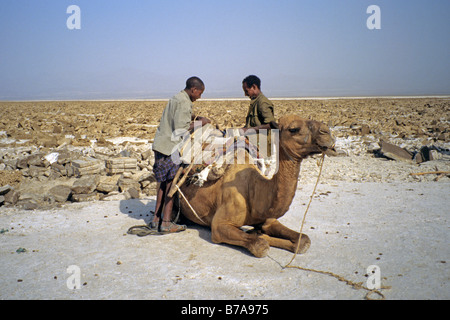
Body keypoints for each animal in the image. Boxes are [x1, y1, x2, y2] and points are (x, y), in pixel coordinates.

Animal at [178, 115, 336, 258]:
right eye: (293, 129)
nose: (326, 132)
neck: (252, 189)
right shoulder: (218, 226)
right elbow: (261, 245)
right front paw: (258, 235)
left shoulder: (268, 219)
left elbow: (304, 240)